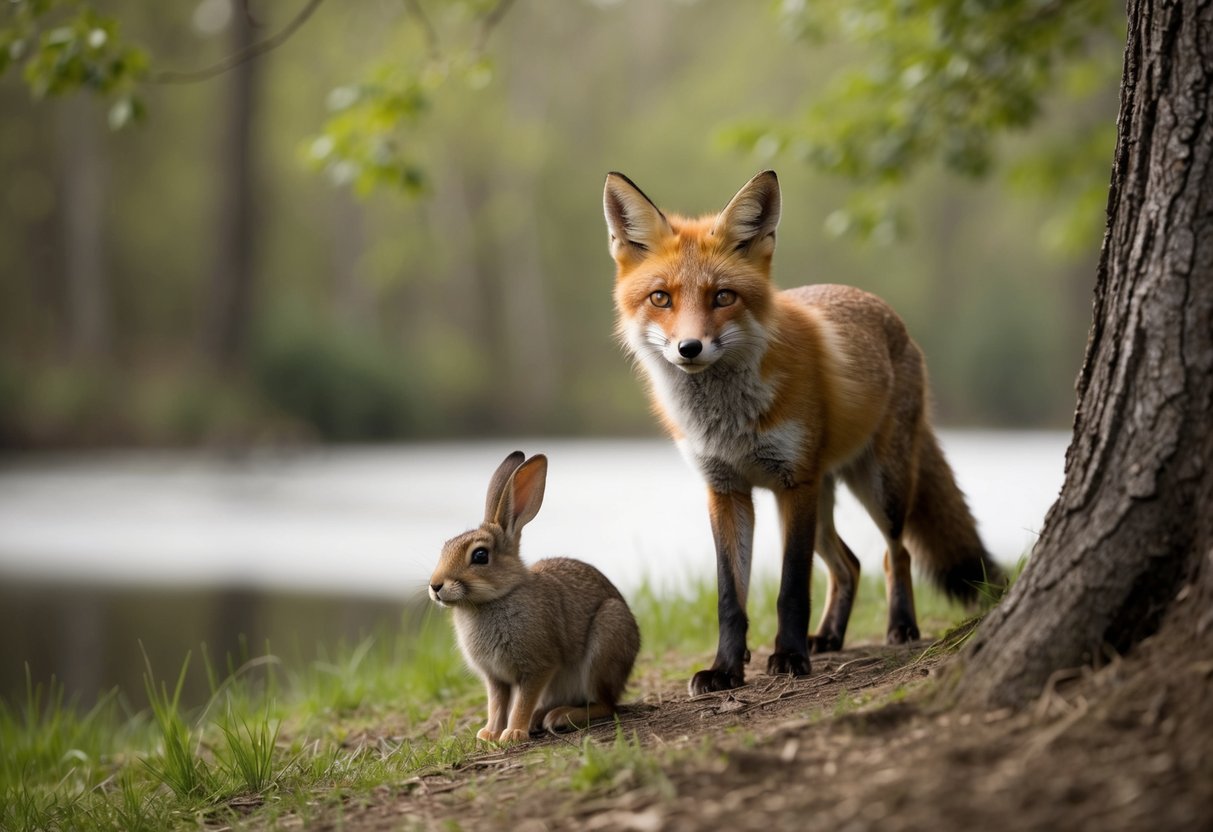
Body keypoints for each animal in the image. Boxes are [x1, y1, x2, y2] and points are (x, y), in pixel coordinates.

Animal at [428, 451, 641, 743]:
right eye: (445, 548)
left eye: (480, 555)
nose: (435, 586)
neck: (493, 600)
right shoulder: (495, 678)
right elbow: (497, 704)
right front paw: (489, 733)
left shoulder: (538, 667)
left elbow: (522, 701)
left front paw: (513, 733)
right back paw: (540, 718)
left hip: (606, 641)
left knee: (606, 704)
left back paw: (560, 717)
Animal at [603, 170, 1005, 695]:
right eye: (661, 298)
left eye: (723, 297)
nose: (689, 348)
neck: (729, 421)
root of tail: (886, 312)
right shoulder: (726, 490)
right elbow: (730, 597)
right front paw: (726, 668)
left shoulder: (795, 483)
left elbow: (791, 588)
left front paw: (790, 656)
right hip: (816, 498)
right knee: (848, 564)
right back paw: (830, 635)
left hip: (877, 487)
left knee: (893, 555)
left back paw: (900, 626)